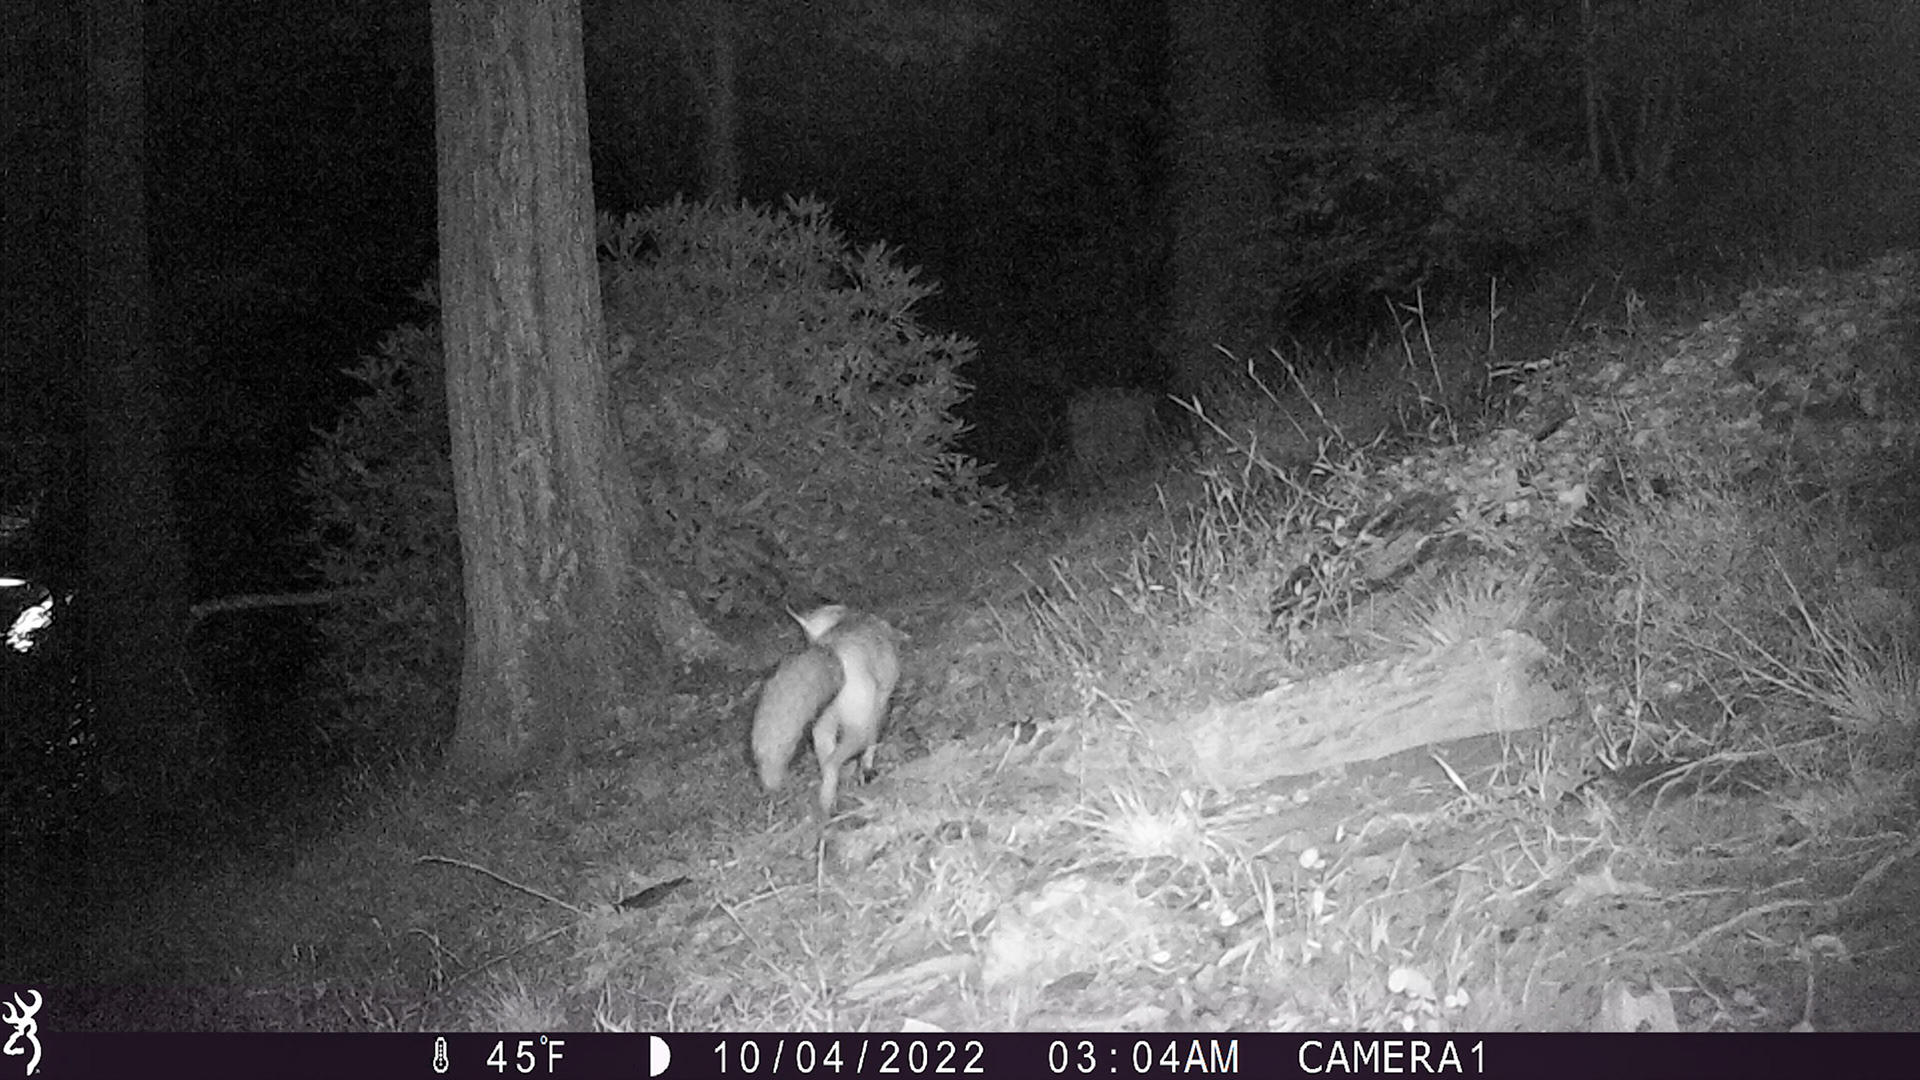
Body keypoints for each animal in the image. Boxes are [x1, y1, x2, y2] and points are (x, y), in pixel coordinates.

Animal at [751, 604, 902, 816]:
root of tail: (831, 649)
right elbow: (873, 742)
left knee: (826, 761)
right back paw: (829, 805)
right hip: (856, 727)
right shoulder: (881, 701)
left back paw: (827, 802)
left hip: (823, 726)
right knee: (833, 762)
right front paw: (867, 768)